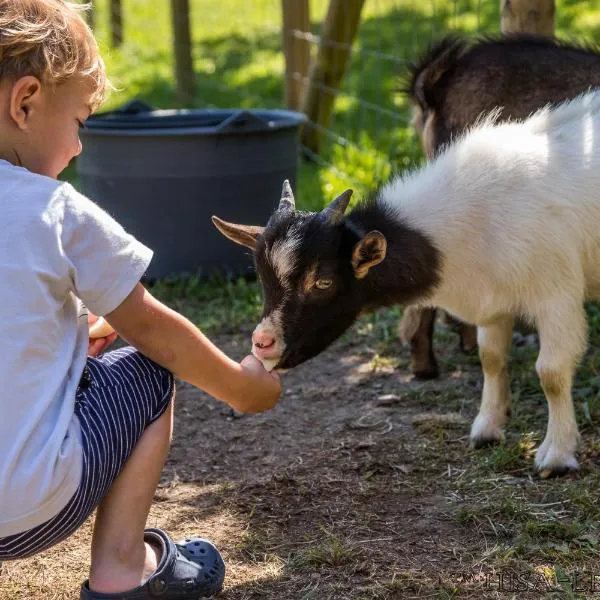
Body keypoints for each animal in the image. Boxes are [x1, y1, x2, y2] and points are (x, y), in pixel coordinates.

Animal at [214, 89, 600, 476]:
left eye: (322, 282)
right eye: (262, 279)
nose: (263, 344)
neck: (481, 212)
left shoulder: (556, 297)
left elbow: (550, 373)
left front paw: (557, 454)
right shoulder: (494, 303)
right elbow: (491, 359)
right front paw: (487, 429)